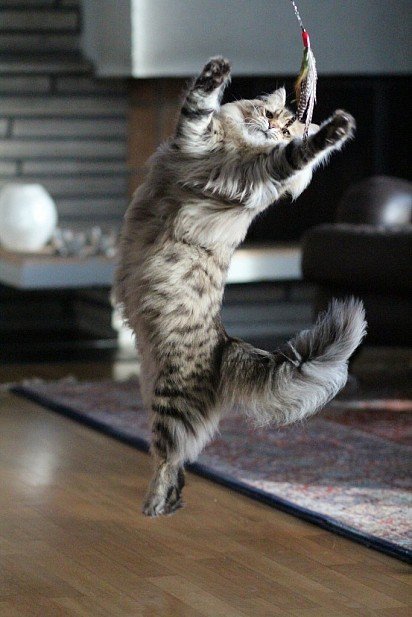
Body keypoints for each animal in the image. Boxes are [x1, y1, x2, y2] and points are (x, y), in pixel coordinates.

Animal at [113, 56, 366, 516]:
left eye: (287, 129)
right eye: (269, 114)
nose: (271, 127)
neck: (234, 147)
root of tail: (224, 343)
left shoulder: (256, 169)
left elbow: (292, 152)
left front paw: (335, 130)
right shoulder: (194, 141)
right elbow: (201, 101)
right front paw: (218, 71)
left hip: (170, 399)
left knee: (171, 458)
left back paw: (154, 507)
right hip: (154, 387)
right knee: (180, 462)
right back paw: (166, 506)